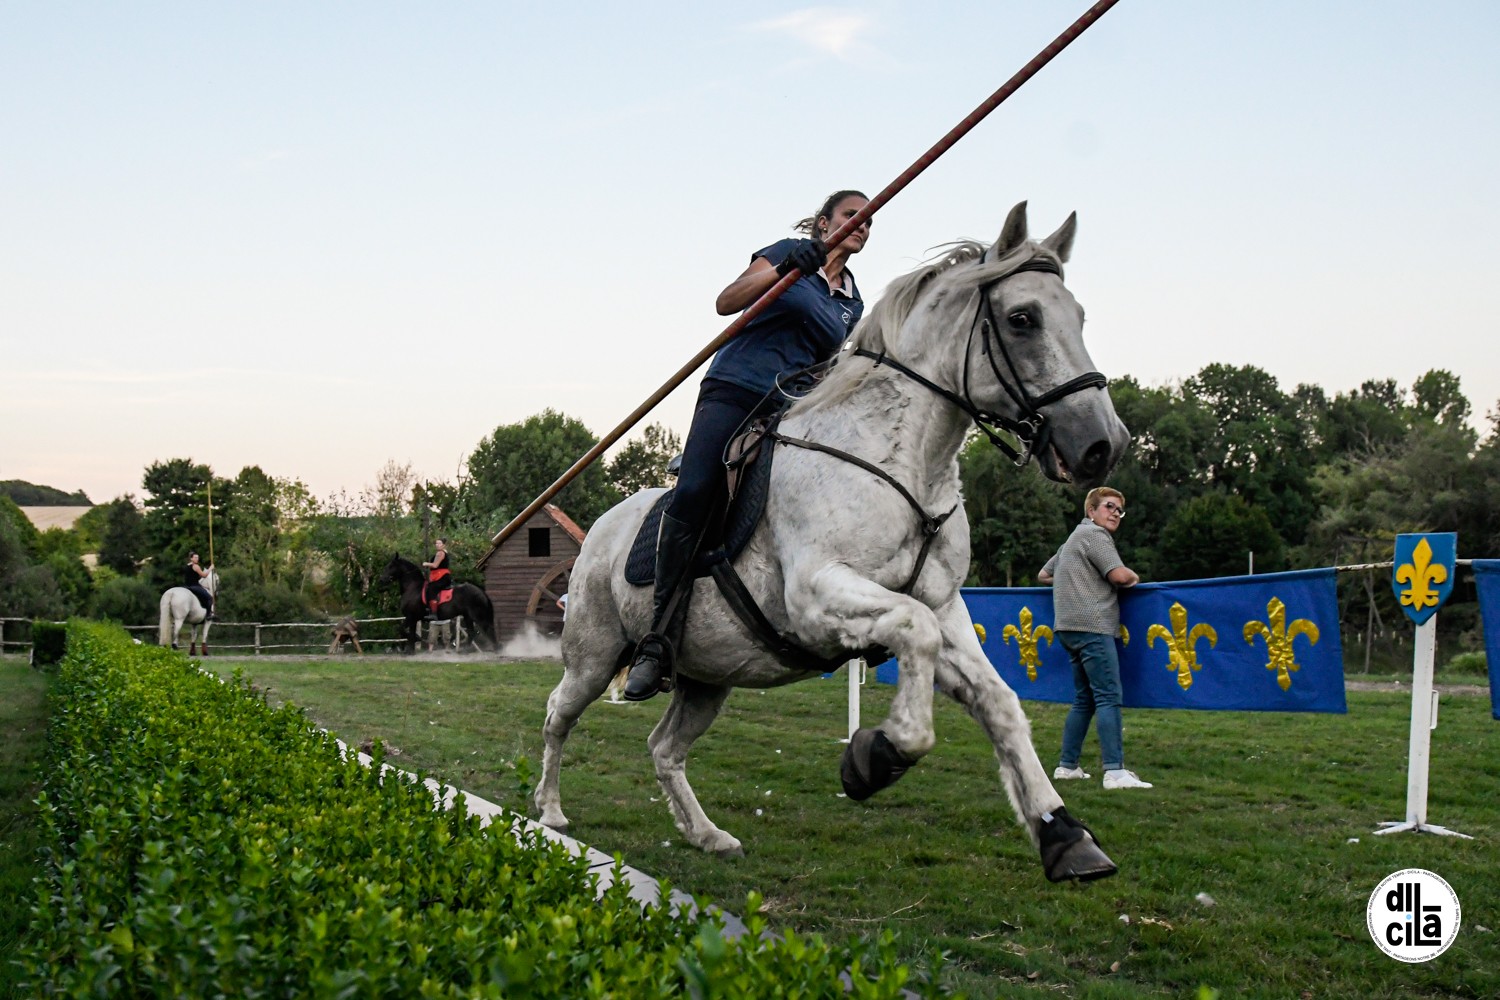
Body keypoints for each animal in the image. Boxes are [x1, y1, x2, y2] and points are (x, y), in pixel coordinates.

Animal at [534, 203, 1128, 881]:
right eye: (1022, 319)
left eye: (1078, 316)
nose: (1103, 444)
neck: (905, 465)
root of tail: (598, 532)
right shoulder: (817, 596)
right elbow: (916, 635)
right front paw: (877, 755)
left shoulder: (946, 606)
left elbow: (997, 701)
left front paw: (1064, 835)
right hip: (594, 654)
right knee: (558, 714)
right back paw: (549, 811)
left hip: (709, 676)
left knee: (664, 748)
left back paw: (707, 835)